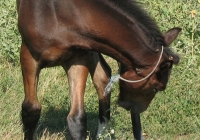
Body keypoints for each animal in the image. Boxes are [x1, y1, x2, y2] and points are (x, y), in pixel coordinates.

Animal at [16, 0, 181, 140]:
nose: (134, 108)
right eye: (158, 87)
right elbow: (31, 110)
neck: (61, 15)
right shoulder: (28, 56)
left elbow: (77, 118)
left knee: (102, 78)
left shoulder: (78, 57)